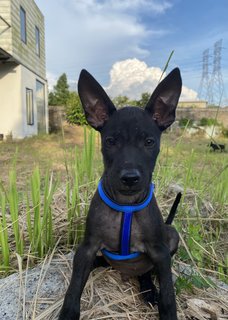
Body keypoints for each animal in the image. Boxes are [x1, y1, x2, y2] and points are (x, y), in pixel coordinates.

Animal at [58, 68, 182, 320]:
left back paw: (148, 289)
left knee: (146, 272)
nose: (130, 178)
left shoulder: (161, 254)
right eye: (110, 141)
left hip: (170, 235)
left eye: (149, 141)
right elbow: (73, 290)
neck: (126, 204)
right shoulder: (86, 250)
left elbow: (168, 296)